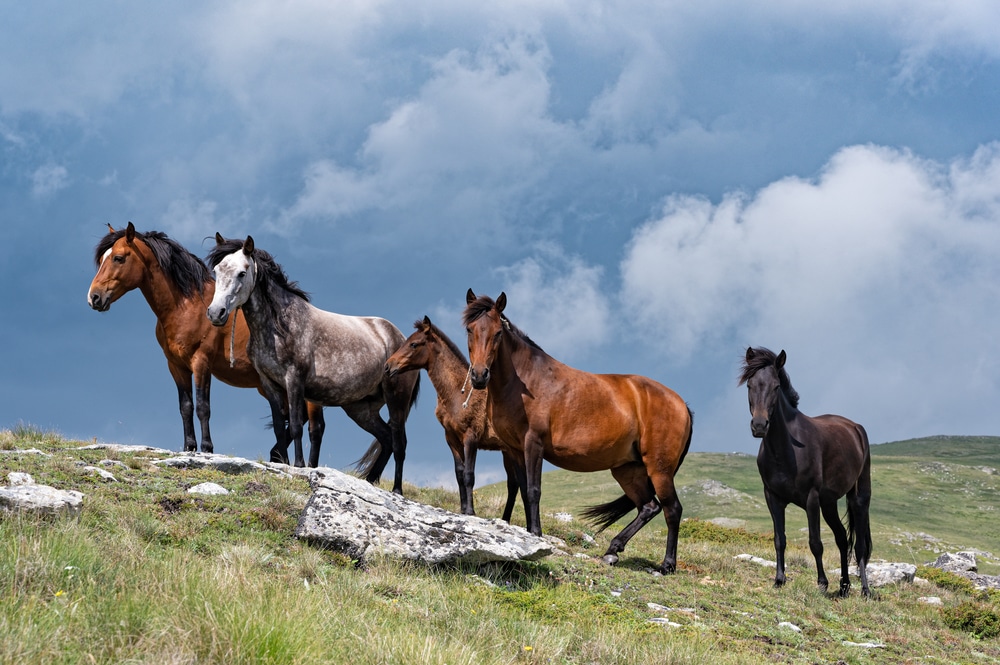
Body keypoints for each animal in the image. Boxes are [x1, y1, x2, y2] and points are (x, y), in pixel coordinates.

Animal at [87, 220, 324, 460]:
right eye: (102, 259)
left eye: (118, 258)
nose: (94, 297)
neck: (186, 306)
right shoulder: (176, 366)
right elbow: (185, 406)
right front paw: (189, 446)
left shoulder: (201, 362)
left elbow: (203, 407)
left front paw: (207, 447)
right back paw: (278, 455)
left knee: (315, 427)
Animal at [382, 316, 520, 520]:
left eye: (414, 344)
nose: (388, 366)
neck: (456, 393)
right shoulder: (451, 438)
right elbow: (459, 474)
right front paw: (462, 509)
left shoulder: (471, 437)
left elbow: (469, 475)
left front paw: (470, 511)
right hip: (508, 451)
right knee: (516, 483)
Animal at [462, 290, 692, 576]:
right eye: (470, 330)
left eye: (497, 333)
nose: (479, 376)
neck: (524, 381)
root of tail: (682, 404)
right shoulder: (514, 450)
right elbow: (524, 490)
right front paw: (528, 534)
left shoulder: (533, 444)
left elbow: (534, 490)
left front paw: (536, 534)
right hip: (628, 470)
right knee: (649, 508)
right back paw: (612, 551)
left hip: (659, 469)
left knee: (672, 510)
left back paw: (667, 565)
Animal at [740, 348, 872, 596]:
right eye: (749, 385)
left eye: (776, 386)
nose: (759, 425)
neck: (785, 450)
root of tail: (855, 427)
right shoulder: (773, 497)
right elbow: (779, 539)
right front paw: (779, 580)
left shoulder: (811, 498)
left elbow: (815, 543)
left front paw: (822, 583)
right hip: (829, 503)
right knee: (842, 538)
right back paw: (844, 587)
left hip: (858, 498)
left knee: (859, 545)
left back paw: (866, 590)